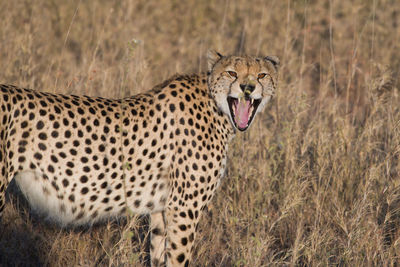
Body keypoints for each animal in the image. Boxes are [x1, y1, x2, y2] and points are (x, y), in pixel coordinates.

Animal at [0, 51, 280, 266]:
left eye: (261, 75)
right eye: (232, 73)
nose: (248, 88)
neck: (217, 109)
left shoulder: (160, 209)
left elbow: (159, 254)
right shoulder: (184, 208)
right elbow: (179, 258)